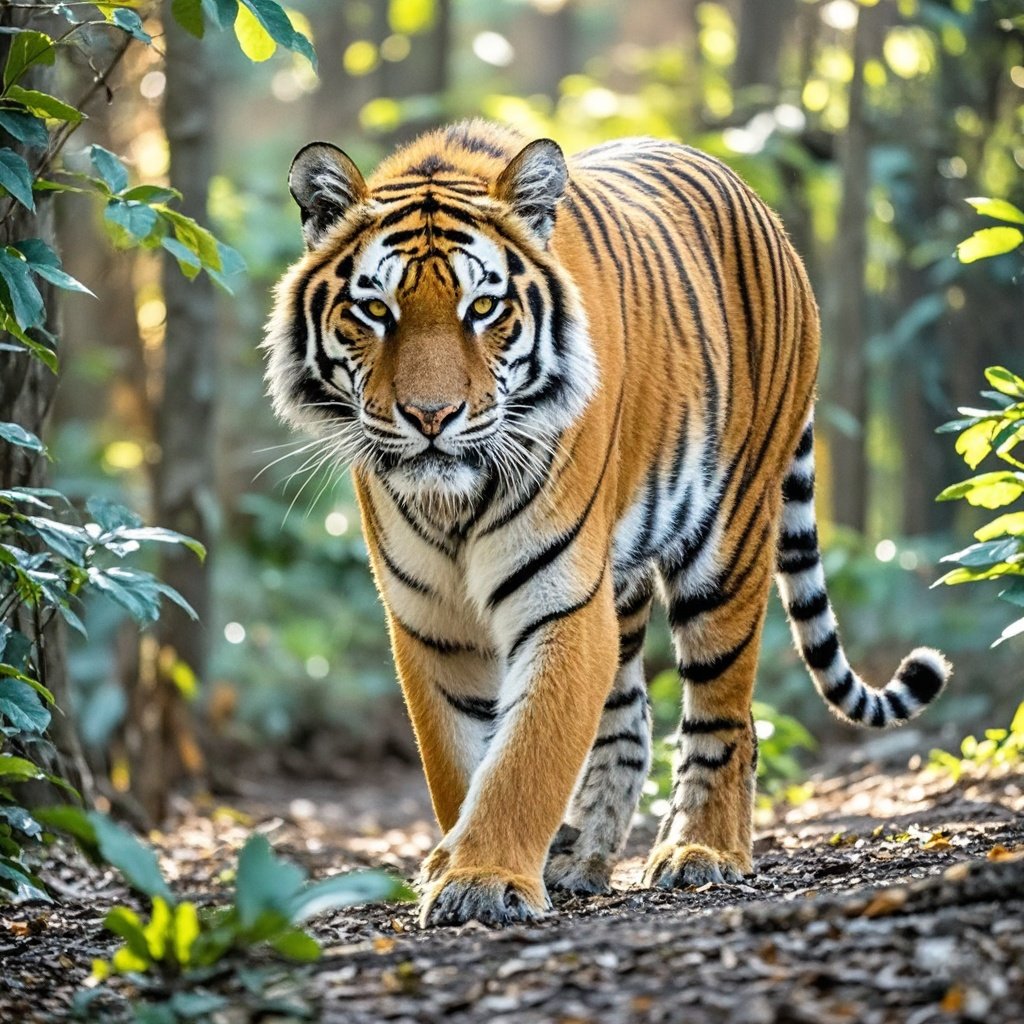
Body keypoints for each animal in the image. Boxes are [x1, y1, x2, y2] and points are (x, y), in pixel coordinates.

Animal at [262, 119, 950, 927]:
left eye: (482, 310)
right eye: (375, 311)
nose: (432, 417)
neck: (453, 502)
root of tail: (758, 204)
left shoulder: (560, 602)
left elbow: (526, 755)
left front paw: (485, 878)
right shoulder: (431, 622)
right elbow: (459, 760)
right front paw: (457, 860)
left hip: (728, 544)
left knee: (725, 715)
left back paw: (702, 851)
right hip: (618, 585)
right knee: (630, 718)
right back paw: (580, 857)